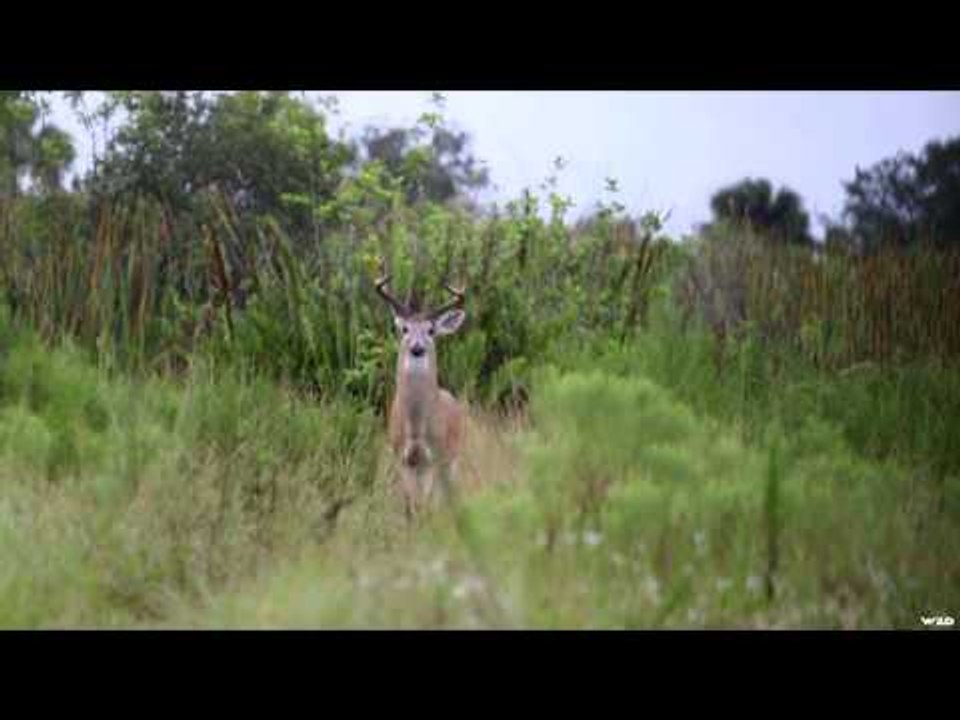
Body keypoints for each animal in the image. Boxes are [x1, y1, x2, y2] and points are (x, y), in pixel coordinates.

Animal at [374, 265, 468, 520]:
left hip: (452, 461)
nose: (417, 348)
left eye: (431, 330)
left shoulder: (435, 458)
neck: (416, 429)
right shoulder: (401, 457)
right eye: (404, 329)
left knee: (448, 498)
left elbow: (425, 507)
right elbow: (409, 507)